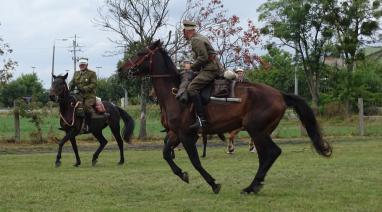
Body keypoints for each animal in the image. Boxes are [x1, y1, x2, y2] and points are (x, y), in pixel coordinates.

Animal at [119, 40, 332, 195]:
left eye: (141, 53)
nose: (122, 69)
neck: (175, 94)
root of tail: (280, 94)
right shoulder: (175, 133)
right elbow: (165, 153)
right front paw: (182, 174)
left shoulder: (187, 135)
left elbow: (196, 161)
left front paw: (213, 183)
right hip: (260, 132)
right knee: (265, 156)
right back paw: (254, 185)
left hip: (257, 130)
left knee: (272, 153)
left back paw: (251, 186)